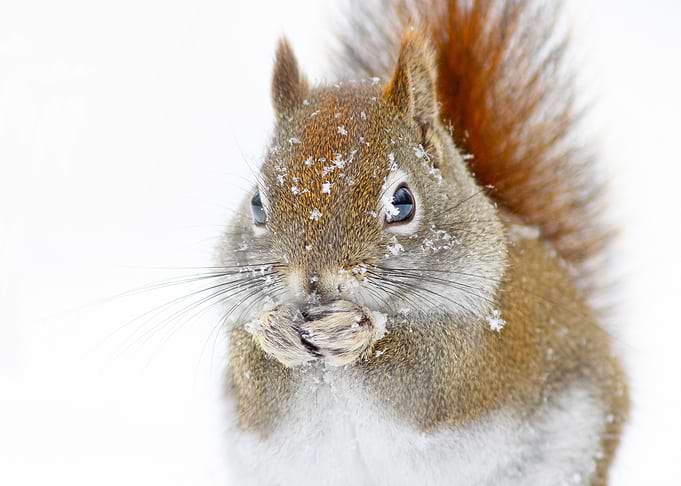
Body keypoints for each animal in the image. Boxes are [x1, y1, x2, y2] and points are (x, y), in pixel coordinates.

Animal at [217, 1, 628, 485]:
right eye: (256, 204)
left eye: (403, 202)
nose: (314, 280)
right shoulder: (254, 400)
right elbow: (256, 381)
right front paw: (273, 329)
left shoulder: (479, 353)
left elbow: (427, 375)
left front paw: (358, 330)